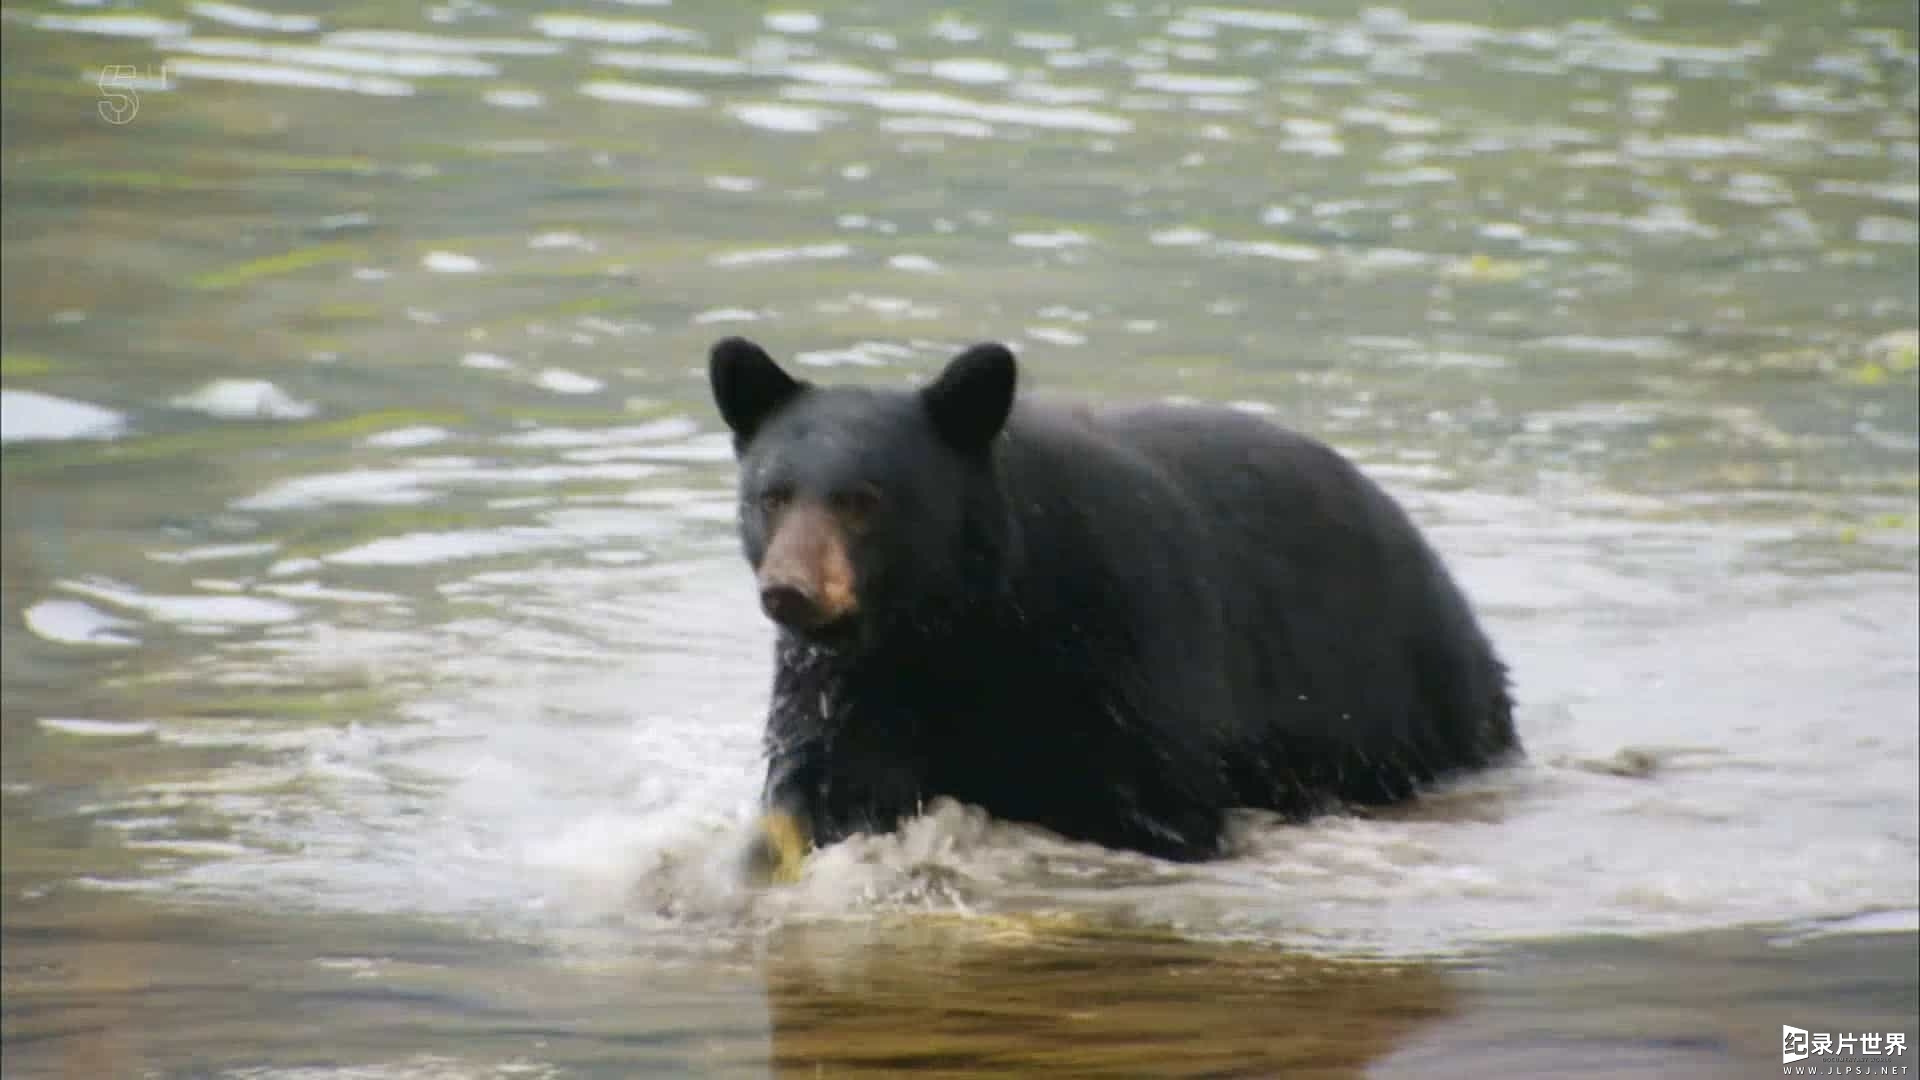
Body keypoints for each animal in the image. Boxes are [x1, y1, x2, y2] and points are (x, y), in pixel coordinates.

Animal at [714, 336, 1520, 864]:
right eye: (773, 495)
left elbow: (1150, 794)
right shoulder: (847, 677)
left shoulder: (1118, 641)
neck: (956, 618)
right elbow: (825, 782)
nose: (790, 591)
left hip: (1398, 694)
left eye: (862, 500)